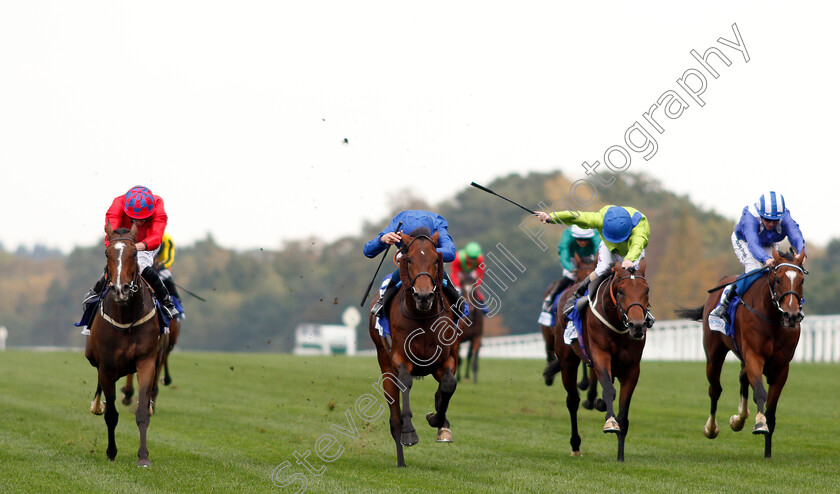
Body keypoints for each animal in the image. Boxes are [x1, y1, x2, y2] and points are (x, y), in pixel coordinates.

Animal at [84, 225, 168, 466]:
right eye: (107, 254)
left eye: (134, 254)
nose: (121, 290)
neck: (125, 315)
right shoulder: (106, 366)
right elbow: (111, 414)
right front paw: (111, 452)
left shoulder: (146, 360)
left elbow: (141, 412)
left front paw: (144, 457)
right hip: (94, 358)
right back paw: (97, 403)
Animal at [368, 229, 460, 466]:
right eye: (408, 259)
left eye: (436, 259)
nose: (423, 295)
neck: (423, 317)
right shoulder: (400, 359)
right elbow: (405, 384)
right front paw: (409, 433)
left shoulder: (446, 359)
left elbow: (448, 385)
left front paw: (438, 421)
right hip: (385, 366)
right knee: (394, 416)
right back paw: (401, 460)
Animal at [556, 260, 652, 462]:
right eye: (621, 291)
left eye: (646, 290)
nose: (637, 326)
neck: (617, 324)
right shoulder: (600, 355)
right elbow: (609, 390)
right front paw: (610, 422)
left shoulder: (632, 368)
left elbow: (623, 411)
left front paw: (620, 456)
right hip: (567, 361)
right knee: (572, 401)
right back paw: (575, 445)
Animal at [672, 247, 804, 460]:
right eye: (778, 279)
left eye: (801, 280)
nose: (791, 315)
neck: (772, 319)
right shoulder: (754, 356)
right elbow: (759, 391)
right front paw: (759, 424)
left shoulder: (782, 366)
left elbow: (772, 410)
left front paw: (767, 451)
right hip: (714, 354)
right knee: (715, 389)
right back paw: (711, 428)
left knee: (742, 378)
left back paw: (739, 419)